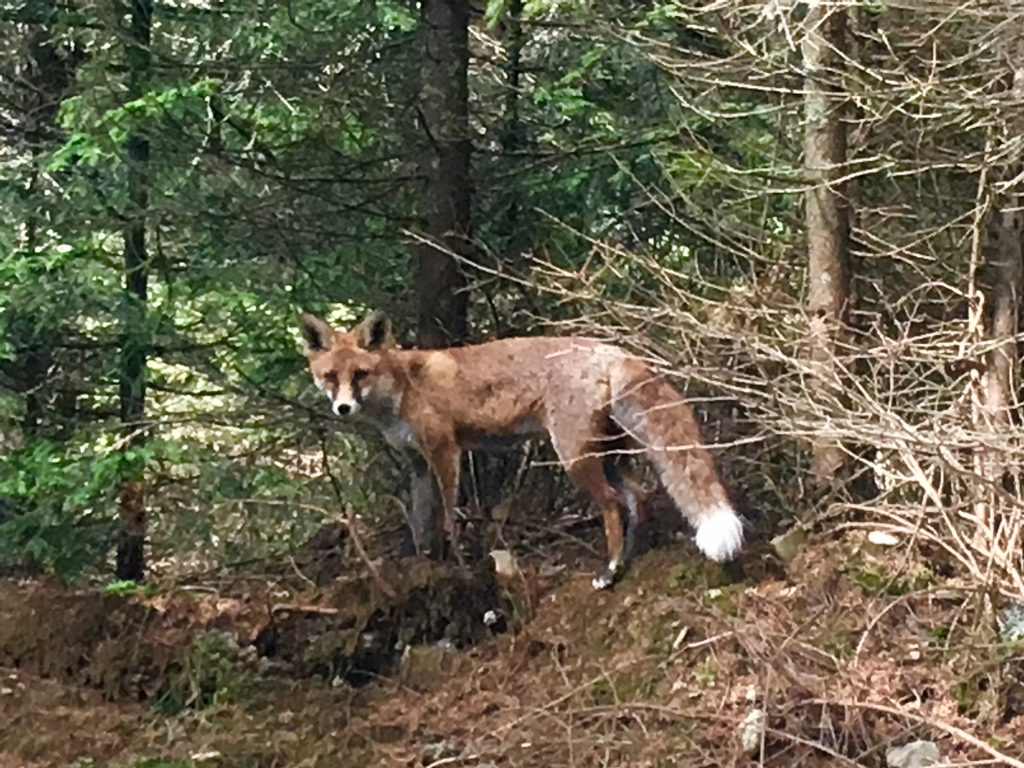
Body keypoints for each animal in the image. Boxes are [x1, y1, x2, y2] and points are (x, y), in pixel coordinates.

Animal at [298, 310, 744, 589]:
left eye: (360, 374)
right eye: (329, 376)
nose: (342, 408)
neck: (403, 389)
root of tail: (613, 350)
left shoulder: (445, 449)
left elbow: (449, 518)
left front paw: (459, 565)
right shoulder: (417, 464)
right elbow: (422, 525)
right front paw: (422, 564)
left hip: (574, 456)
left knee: (612, 504)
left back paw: (611, 570)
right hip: (609, 457)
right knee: (639, 497)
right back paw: (626, 563)